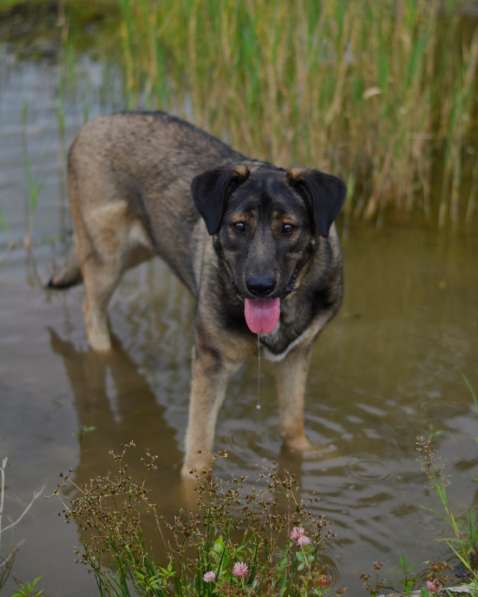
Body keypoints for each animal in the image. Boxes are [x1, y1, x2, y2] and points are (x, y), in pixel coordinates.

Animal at [48, 110, 346, 474]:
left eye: (288, 228)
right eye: (239, 226)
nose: (259, 286)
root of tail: (95, 123)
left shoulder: (295, 357)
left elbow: (293, 428)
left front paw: (309, 455)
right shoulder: (210, 364)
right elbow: (199, 457)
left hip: (139, 249)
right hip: (107, 256)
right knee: (92, 311)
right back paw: (106, 352)